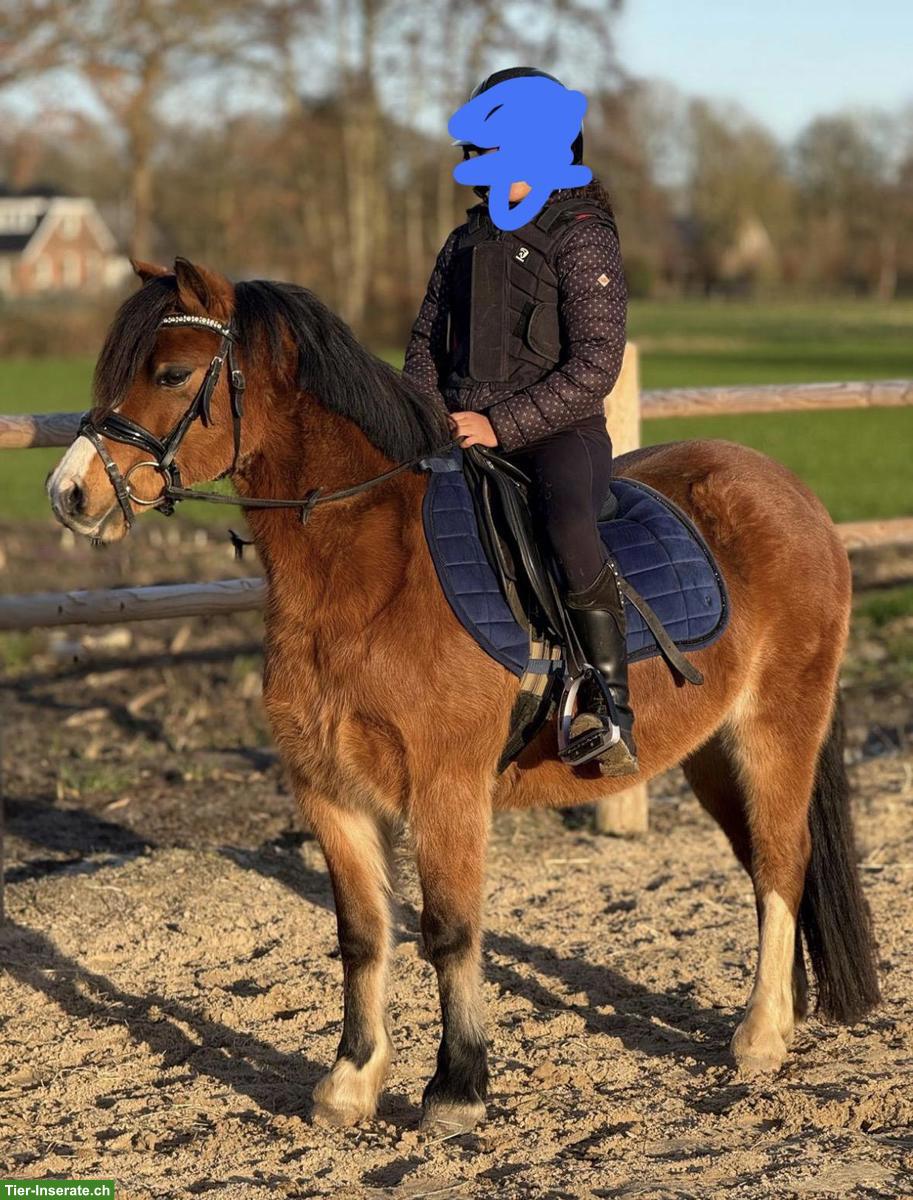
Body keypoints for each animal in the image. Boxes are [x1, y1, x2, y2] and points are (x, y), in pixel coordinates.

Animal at [47, 257, 879, 1133]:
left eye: (171, 373)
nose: (69, 495)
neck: (369, 573)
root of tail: (789, 492)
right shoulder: (329, 791)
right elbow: (361, 934)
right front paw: (350, 1081)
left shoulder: (445, 785)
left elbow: (447, 930)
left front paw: (456, 1087)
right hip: (710, 753)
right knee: (759, 865)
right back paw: (780, 1015)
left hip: (776, 726)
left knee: (783, 860)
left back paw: (759, 1037)